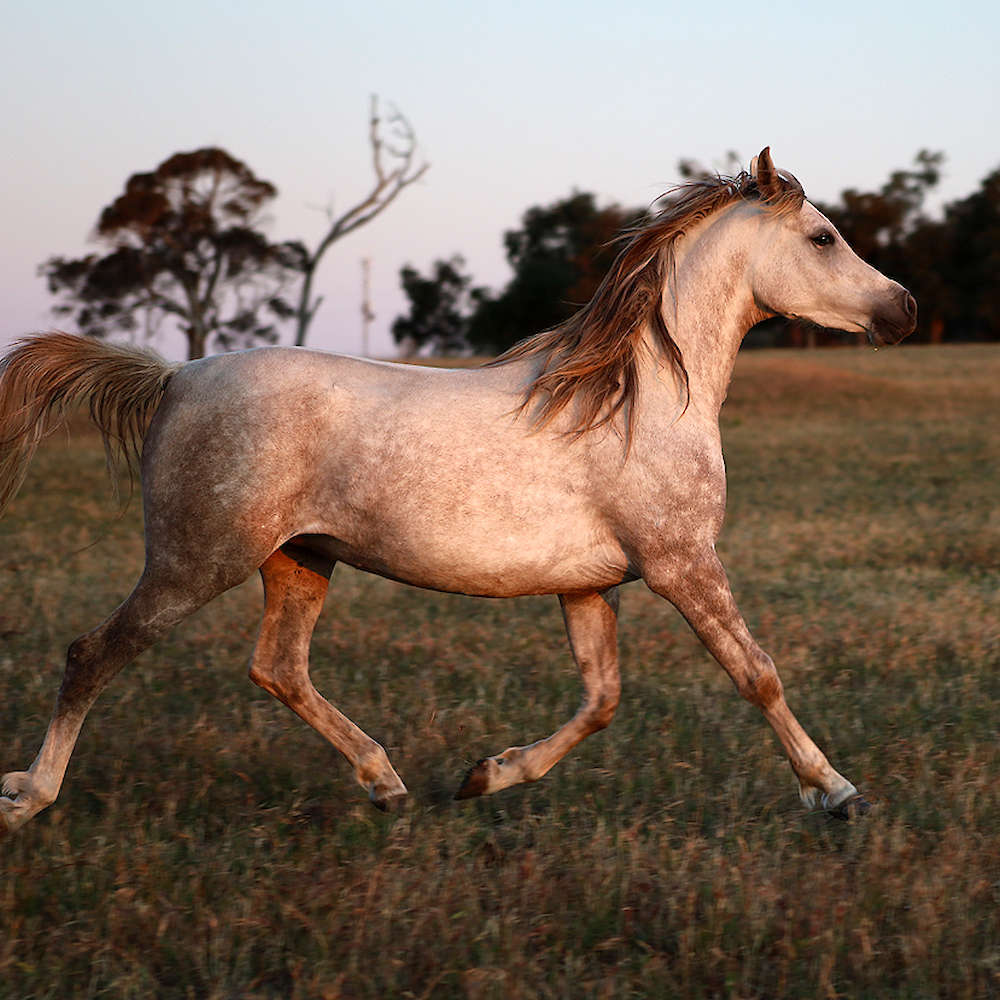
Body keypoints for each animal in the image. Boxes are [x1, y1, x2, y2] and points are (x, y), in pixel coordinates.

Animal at [0, 149, 916, 836]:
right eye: (824, 237)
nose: (904, 309)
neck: (640, 397)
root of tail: (175, 377)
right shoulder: (682, 563)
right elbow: (757, 675)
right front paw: (837, 794)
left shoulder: (589, 586)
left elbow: (602, 699)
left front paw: (486, 776)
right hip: (196, 560)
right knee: (93, 654)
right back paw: (26, 798)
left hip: (298, 560)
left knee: (278, 668)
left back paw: (388, 785)